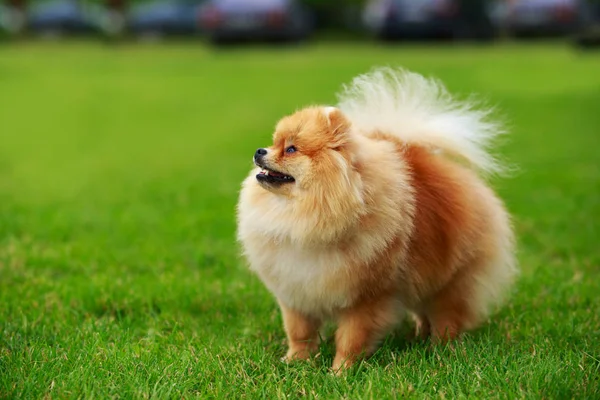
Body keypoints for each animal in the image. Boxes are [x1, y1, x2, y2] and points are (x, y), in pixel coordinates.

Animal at [237, 68, 516, 372]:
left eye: (291, 149)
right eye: (274, 142)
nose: (259, 151)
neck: (304, 216)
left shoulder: (365, 297)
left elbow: (351, 337)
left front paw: (341, 371)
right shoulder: (295, 288)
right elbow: (299, 331)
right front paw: (295, 362)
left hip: (451, 278)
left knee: (447, 315)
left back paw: (441, 348)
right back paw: (420, 335)